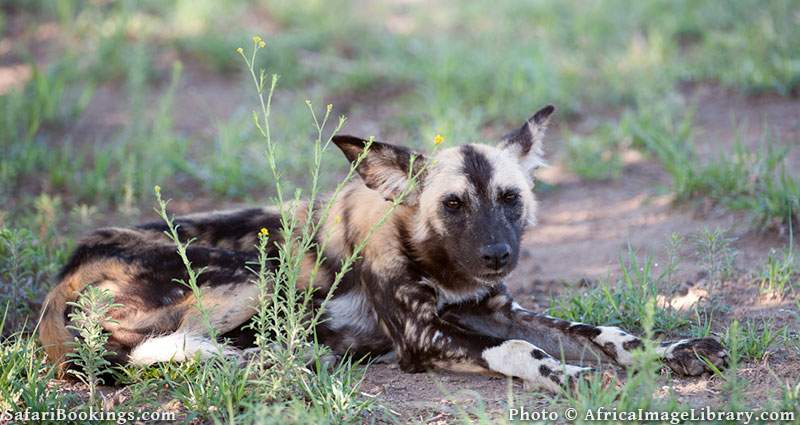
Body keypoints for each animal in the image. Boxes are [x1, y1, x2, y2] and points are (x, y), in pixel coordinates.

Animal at [40, 106, 728, 390]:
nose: (498, 255)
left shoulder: (496, 308)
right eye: (452, 205)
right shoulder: (423, 335)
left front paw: (673, 351)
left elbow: (598, 330)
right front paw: (561, 373)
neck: (441, 266)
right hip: (253, 275)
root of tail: (64, 272)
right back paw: (278, 362)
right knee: (150, 348)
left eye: (510, 198)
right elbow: (520, 351)